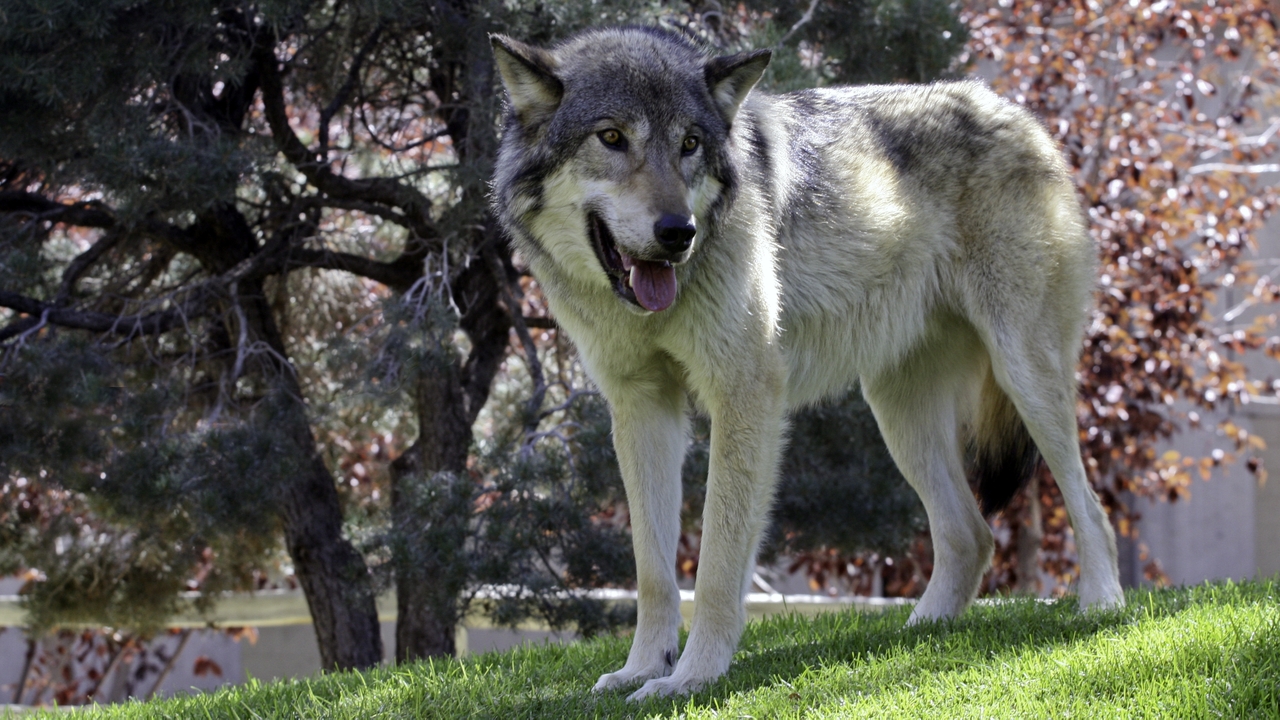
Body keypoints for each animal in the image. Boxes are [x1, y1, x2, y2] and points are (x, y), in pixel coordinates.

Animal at [489, 26, 1124, 700]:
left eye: (689, 144)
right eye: (611, 137)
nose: (678, 232)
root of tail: (1014, 111)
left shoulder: (744, 395)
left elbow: (715, 564)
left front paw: (691, 678)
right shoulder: (641, 408)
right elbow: (654, 571)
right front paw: (642, 670)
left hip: (1024, 375)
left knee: (1088, 507)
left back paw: (1102, 606)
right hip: (899, 415)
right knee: (970, 535)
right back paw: (919, 635)